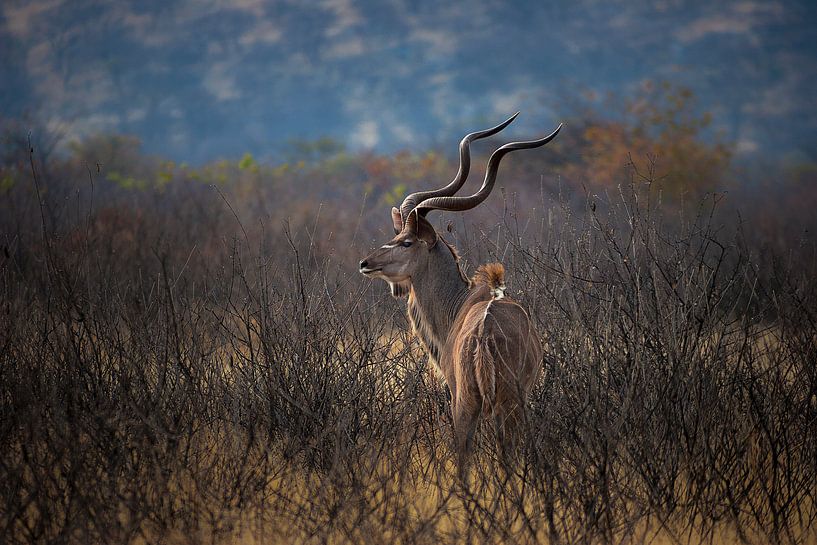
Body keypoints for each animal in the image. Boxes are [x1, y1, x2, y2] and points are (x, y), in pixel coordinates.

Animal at [362, 112, 560, 470]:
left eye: (406, 241)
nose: (365, 263)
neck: (463, 302)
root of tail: (484, 335)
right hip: (499, 403)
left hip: (475, 402)